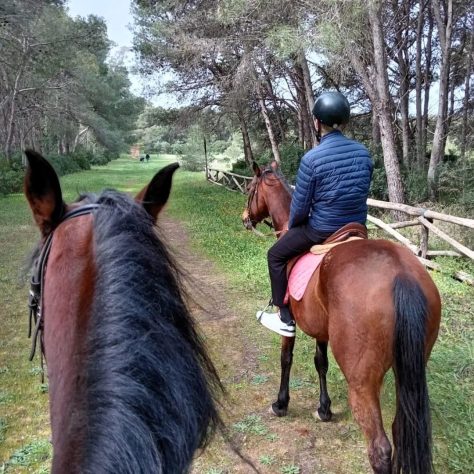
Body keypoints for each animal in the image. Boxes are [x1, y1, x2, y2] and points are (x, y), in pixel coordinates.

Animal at [243, 164, 442, 474]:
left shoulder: (291, 323)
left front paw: (281, 404)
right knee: (400, 429)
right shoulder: (321, 329)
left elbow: (286, 358)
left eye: (250, 189)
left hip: (361, 381)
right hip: (409, 366)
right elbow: (320, 363)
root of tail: (401, 274)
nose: (245, 219)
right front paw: (324, 408)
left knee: (380, 447)